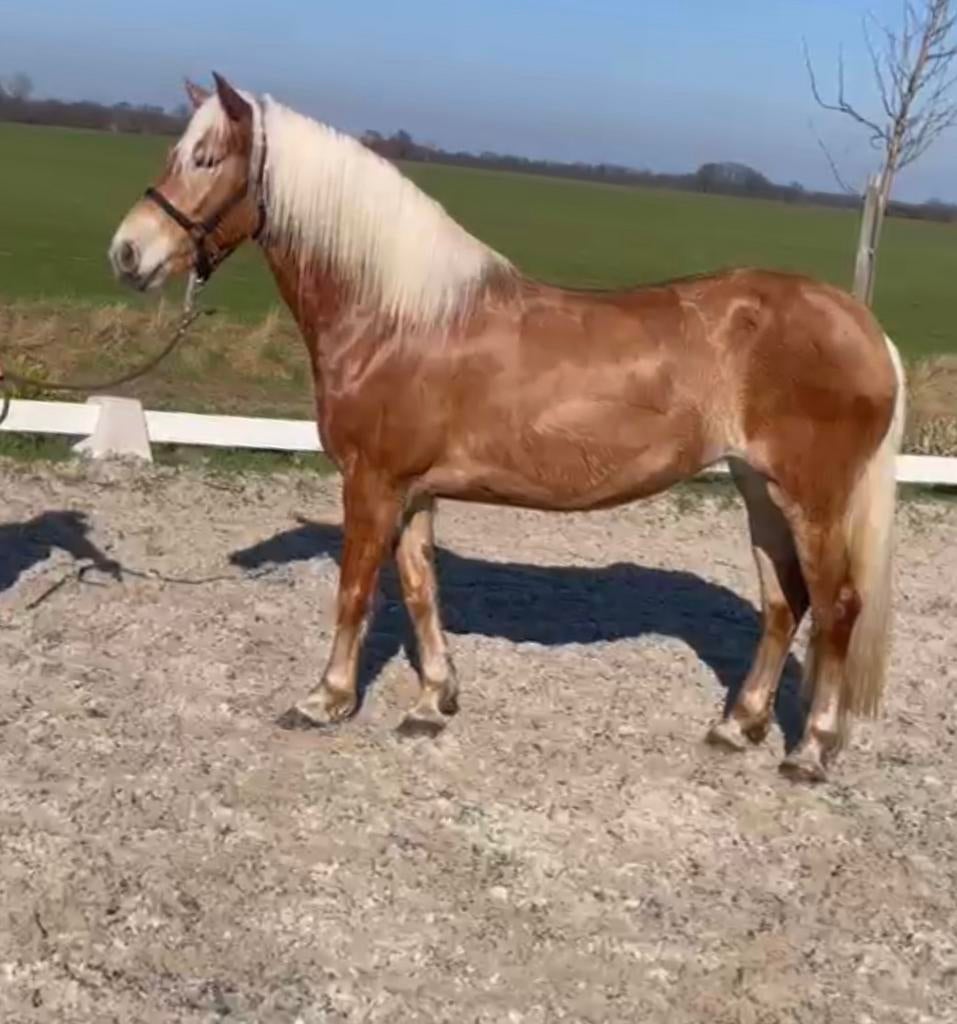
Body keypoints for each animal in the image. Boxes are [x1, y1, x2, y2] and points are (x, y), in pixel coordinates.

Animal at [108, 73, 905, 783]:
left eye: (205, 158)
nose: (127, 252)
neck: (397, 317)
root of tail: (861, 325)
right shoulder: (412, 490)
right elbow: (420, 588)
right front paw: (432, 702)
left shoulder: (370, 483)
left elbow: (355, 591)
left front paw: (324, 699)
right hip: (758, 488)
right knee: (784, 602)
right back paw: (737, 725)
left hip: (810, 497)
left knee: (837, 606)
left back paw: (809, 750)